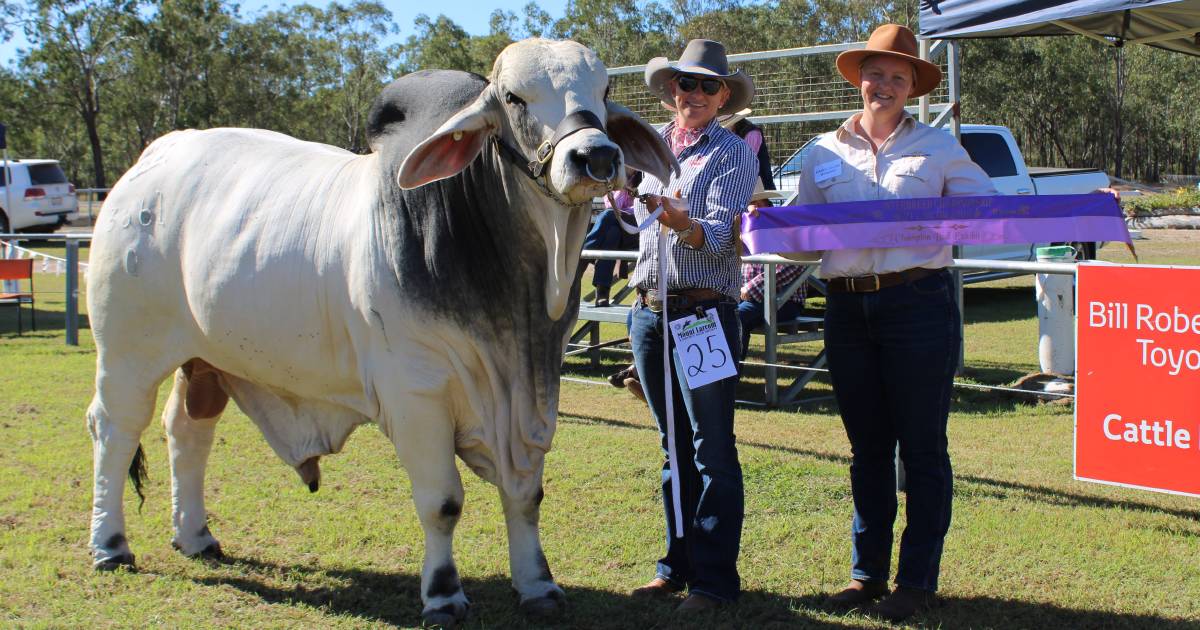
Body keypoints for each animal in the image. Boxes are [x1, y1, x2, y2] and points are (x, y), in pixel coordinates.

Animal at [87, 39, 676, 624]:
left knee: (187, 430)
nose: (596, 157)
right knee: (115, 429)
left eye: (603, 88)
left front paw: (537, 585)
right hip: (126, 352)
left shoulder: (533, 399)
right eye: (512, 97)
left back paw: (194, 535)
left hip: (204, 358)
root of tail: (152, 158)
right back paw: (110, 545)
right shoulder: (417, 396)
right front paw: (442, 594)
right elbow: (442, 502)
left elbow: (525, 494)